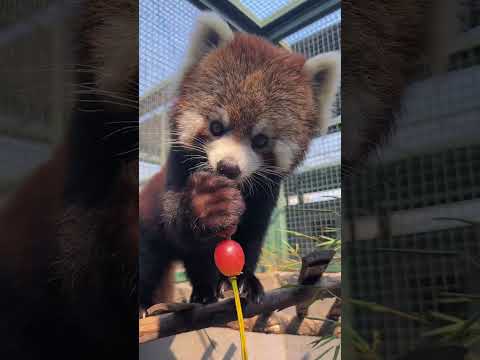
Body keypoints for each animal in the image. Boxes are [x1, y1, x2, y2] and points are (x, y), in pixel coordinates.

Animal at [139, 11, 342, 310]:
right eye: (215, 127)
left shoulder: (265, 194)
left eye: (260, 140)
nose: (228, 168)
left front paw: (246, 280)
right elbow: (180, 227)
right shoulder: (178, 167)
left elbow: (251, 238)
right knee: (148, 262)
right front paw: (207, 203)